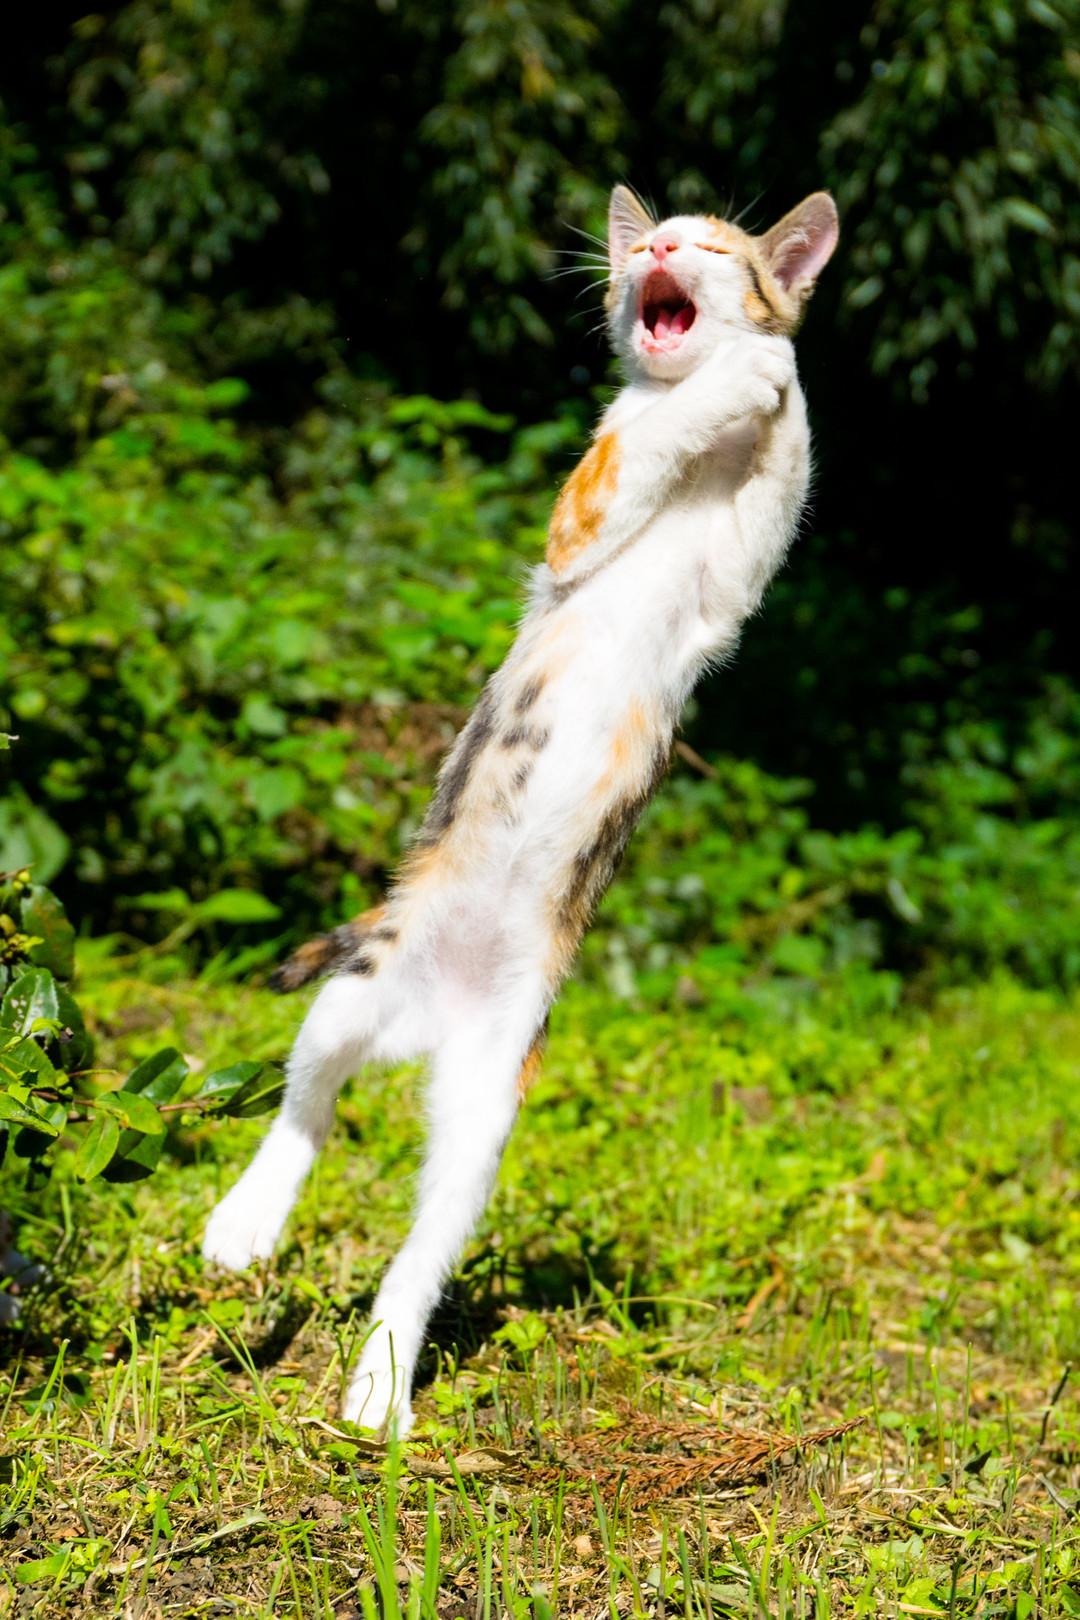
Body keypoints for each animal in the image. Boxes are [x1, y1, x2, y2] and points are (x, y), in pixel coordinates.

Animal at [203, 183, 839, 1435]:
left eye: (717, 244)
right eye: (655, 237)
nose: (658, 245)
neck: (705, 468)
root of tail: (425, 1024)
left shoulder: (735, 585)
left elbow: (780, 471)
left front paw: (772, 370)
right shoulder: (580, 518)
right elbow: (634, 447)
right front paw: (734, 385)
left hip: (490, 1099)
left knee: (422, 1249)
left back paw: (379, 1389)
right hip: (355, 991)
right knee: (307, 1106)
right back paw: (247, 1223)